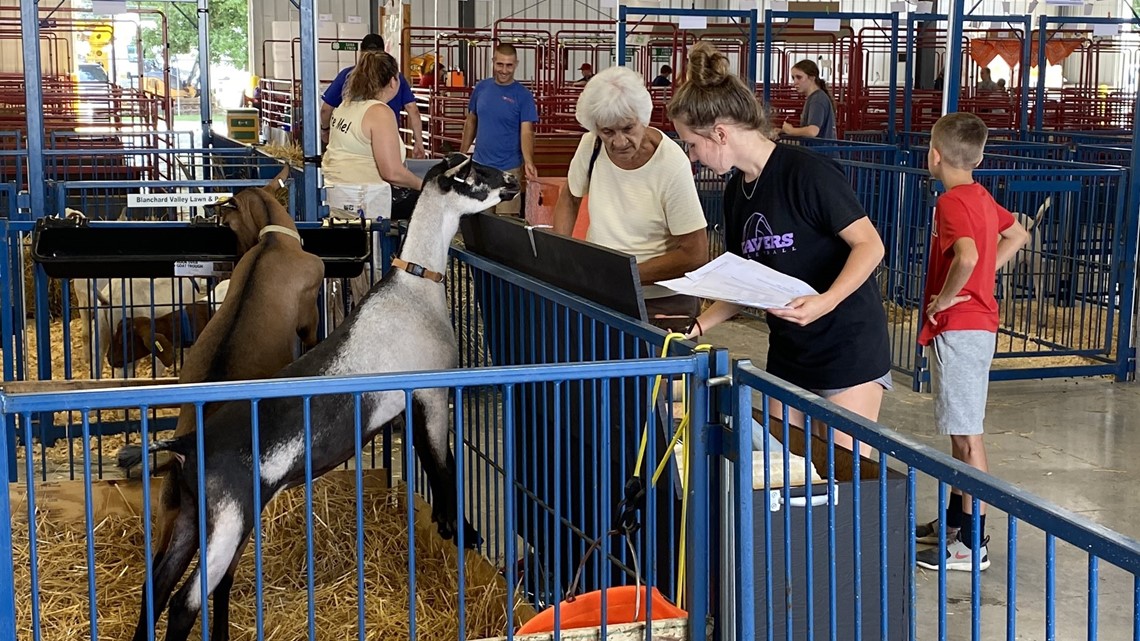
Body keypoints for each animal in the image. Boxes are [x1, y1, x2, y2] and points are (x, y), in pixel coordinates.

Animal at [114, 153, 517, 638]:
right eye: (474, 175)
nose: (513, 181)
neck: (414, 287)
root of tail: (185, 444)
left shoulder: (408, 404)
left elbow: (428, 458)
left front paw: (445, 525)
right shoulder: (432, 392)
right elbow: (444, 464)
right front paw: (466, 532)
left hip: (195, 516)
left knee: (155, 585)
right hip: (229, 520)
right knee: (183, 602)